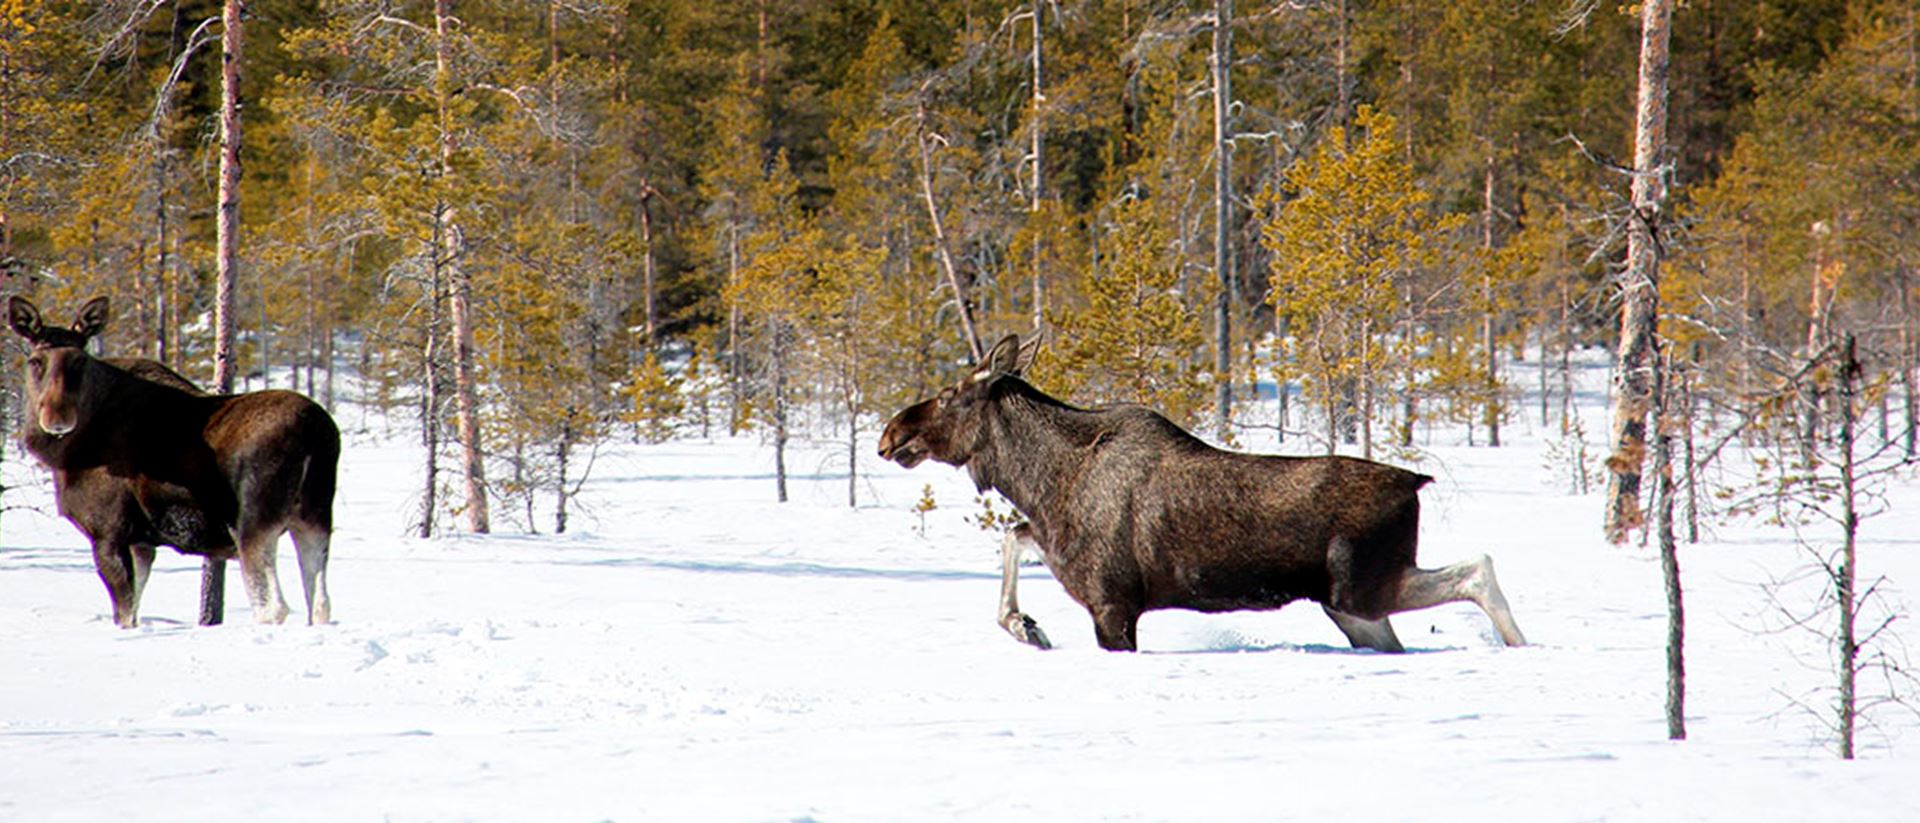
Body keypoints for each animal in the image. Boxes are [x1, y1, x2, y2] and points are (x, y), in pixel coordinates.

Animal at [9, 296, 340, 628]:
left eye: (80, 361)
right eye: (35, 361)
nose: (57, 418)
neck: (65, 455)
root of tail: (318, 433)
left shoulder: (108, 532)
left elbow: (124, 615)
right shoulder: (141, 543)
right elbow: (135, 609)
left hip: (253, 524)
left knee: (273, 608)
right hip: (314, 518)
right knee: (320, 603)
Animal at [877, 334, 1528, 653]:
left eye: (953, 394)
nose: (891, 433)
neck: (1040, 480)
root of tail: (1417, 483)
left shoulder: (1113, 605)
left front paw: (1026, 625)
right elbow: (1014, 536)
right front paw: (1024, 625)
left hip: (1361, 589)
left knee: (1479, 569)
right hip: (1352, 609)